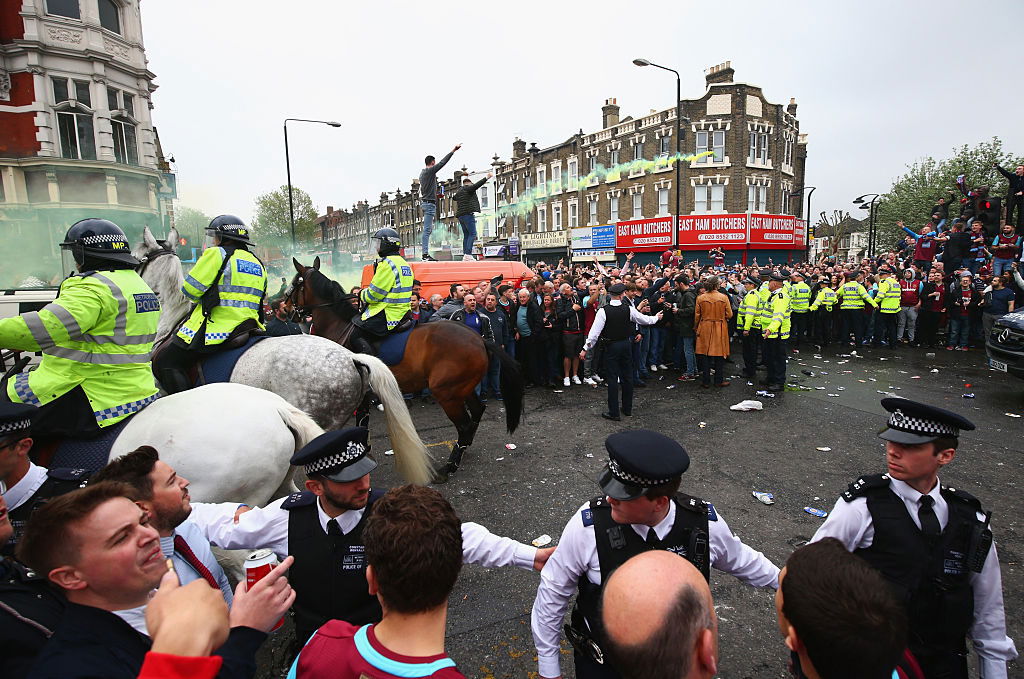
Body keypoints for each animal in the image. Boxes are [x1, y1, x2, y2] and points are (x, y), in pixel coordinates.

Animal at [292, 256, 524, 483]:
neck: (339, 328)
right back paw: (464, 450)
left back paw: (449, 467)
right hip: (463, 388)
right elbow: (363, 423)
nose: (289, 309)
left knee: (465, 424)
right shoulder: (363, 395)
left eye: (295, 284)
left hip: (447, 393)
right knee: (477, 412)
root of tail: (479, 339)